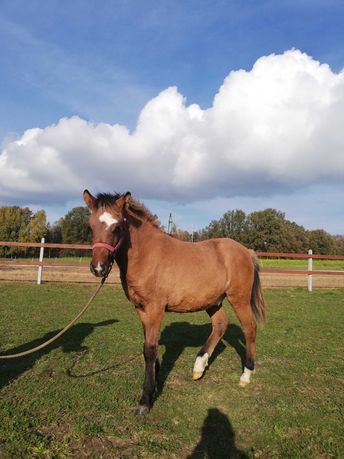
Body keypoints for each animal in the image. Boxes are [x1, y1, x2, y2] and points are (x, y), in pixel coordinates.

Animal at [83, 190, 266, 416]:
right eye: (90, 226)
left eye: (117, 226)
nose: (98, 268)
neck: (146, 255)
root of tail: (246, 251)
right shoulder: (141, 309)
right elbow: (148, 344)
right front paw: (155, 378)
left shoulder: (155, 309)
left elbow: (149, 349)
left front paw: (146, 399)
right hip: (213, 301)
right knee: (220, 325)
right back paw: (199, 367)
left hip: (238, 299)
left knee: (249, 328)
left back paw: (246, 375)